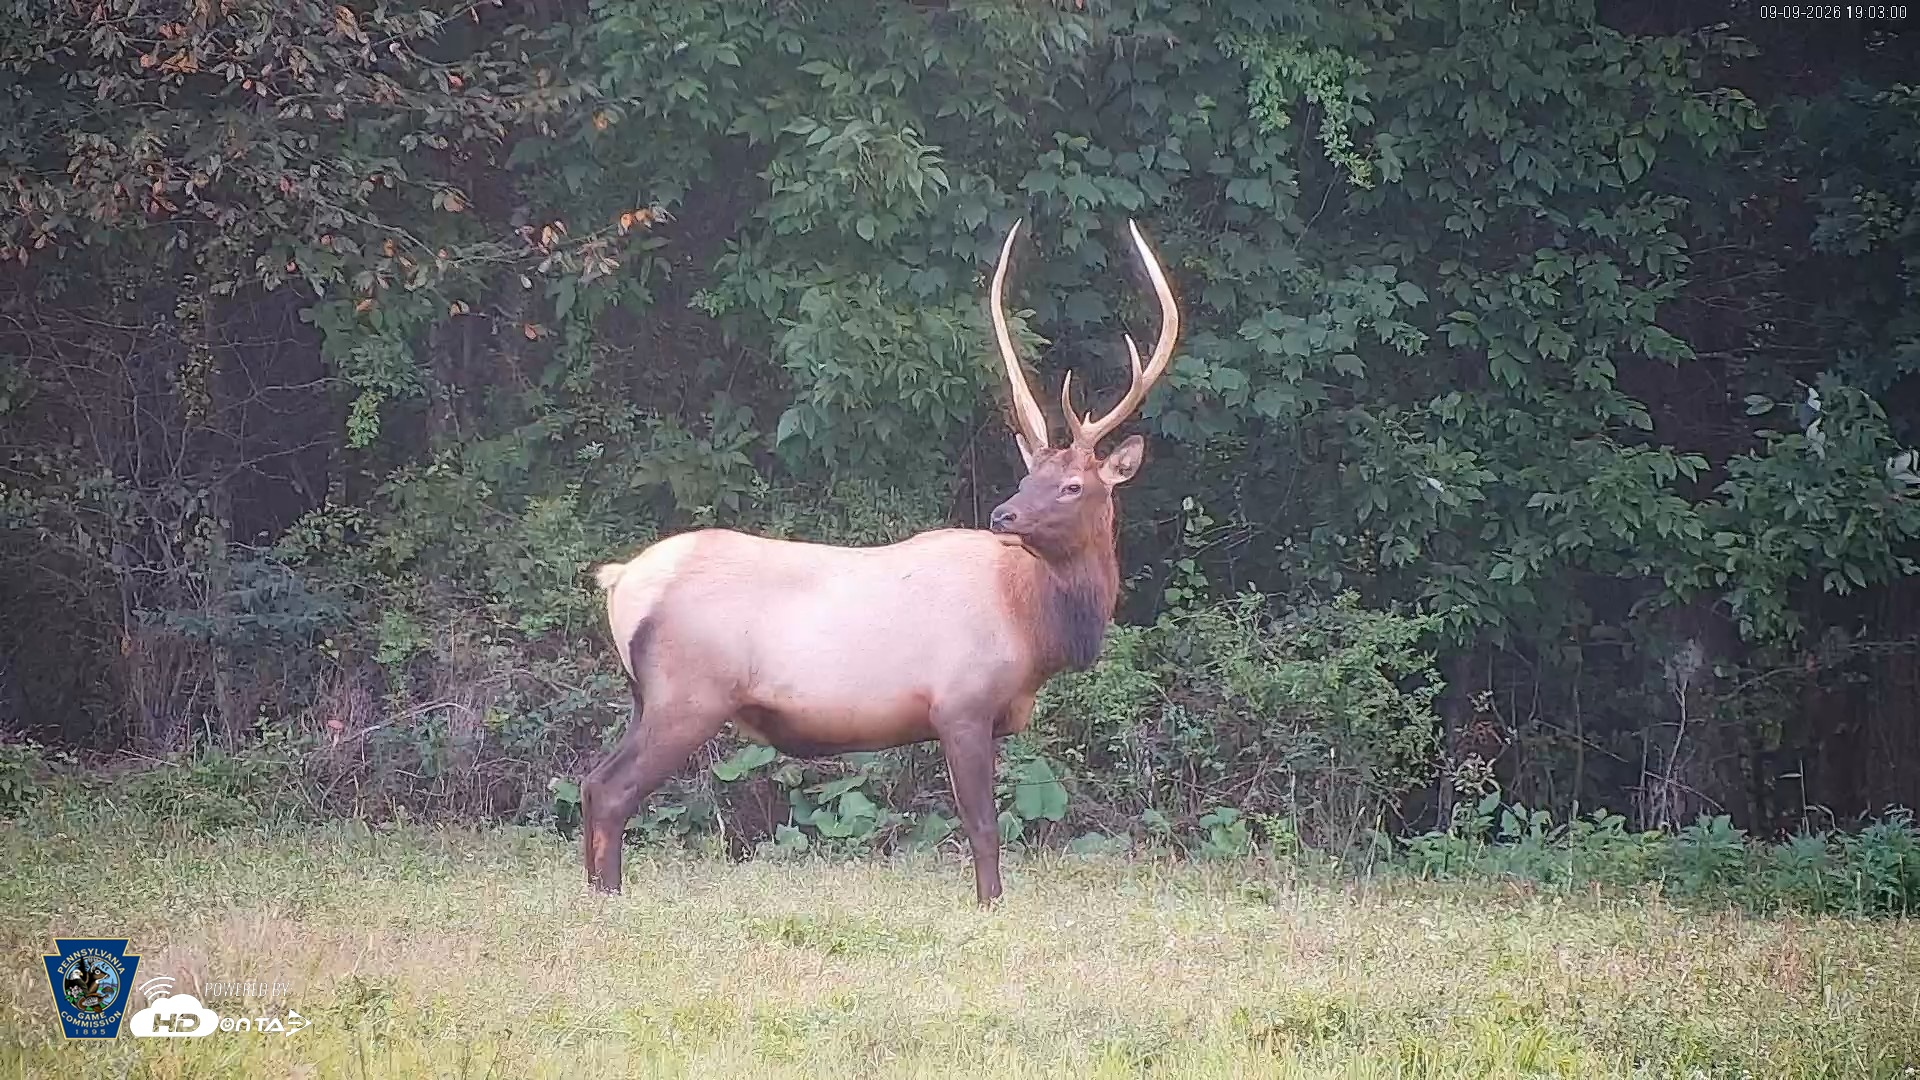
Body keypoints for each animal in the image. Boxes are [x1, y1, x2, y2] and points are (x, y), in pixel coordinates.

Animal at [583, 218, 1180, 906]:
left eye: (1071, 486)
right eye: (1031, 475)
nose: (1004, 515)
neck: (1034, 627)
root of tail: (621, 582)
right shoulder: (960, 704)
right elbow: (982, 826)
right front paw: (990, 905)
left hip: (645, 696)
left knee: (591, 782)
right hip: (688, 694)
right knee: (612, 790)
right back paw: (609, 898)